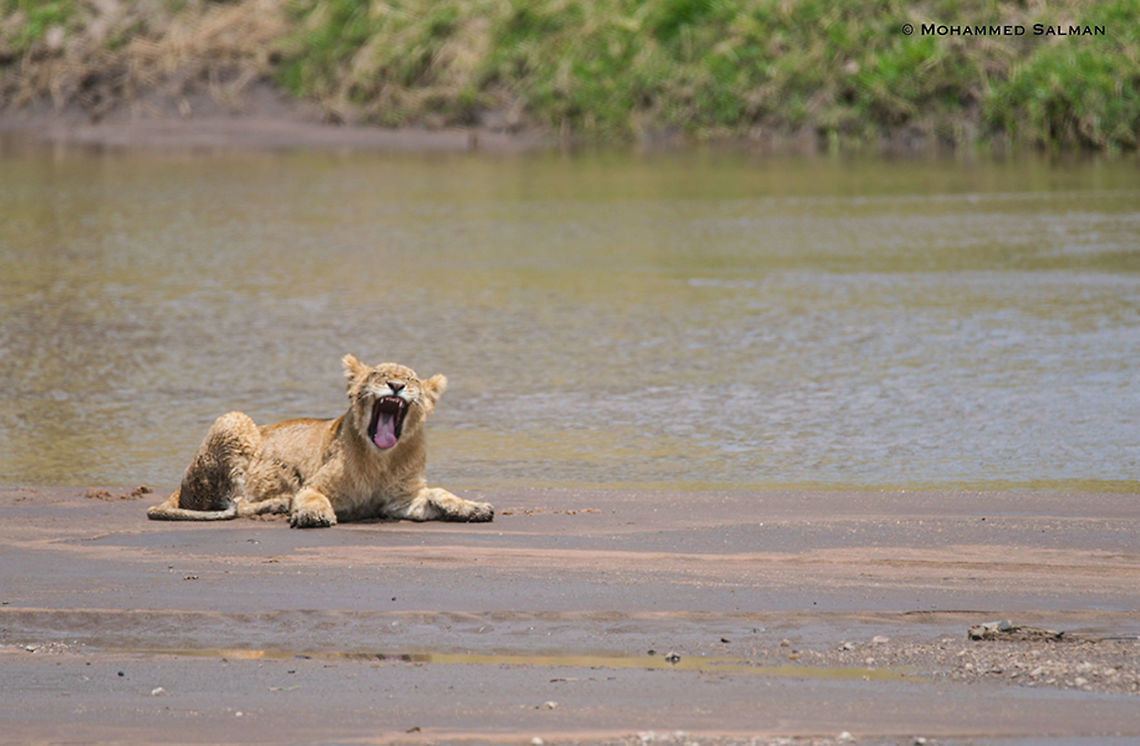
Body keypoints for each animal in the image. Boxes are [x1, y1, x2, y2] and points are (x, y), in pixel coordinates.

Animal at [147, 354, 492, 528]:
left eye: (411, 380)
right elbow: (311, 495)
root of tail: (180, 485)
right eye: (378, 375)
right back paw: (279, 503)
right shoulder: (316, 483)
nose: (395, 386)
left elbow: (438, 494)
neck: (380, 460)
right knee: (235, 503)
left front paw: (472, 507)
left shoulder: (401, 501)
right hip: (235, 418)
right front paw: (312, 514)